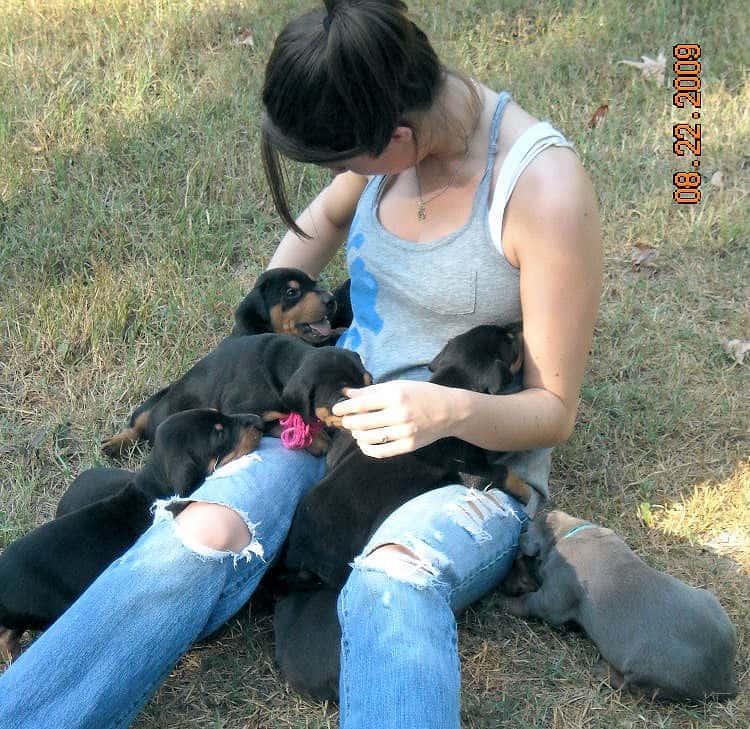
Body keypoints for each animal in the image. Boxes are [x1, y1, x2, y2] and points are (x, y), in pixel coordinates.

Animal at [101, 334, 372, 456]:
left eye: (370, 382)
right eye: (341, 400)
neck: (287, 362)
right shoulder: (240, 410)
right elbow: (274, 425)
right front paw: (319, 443)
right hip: (157, 401)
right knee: (136, 424)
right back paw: (114, 444)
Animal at [506, 506, 740, 700]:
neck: (567, 534)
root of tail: (725, 680)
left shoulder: (554, 595)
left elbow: (531, 603)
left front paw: (504, 601)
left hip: (645, 668)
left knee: (631, 687)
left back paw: (602, 670)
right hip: (709, 599)